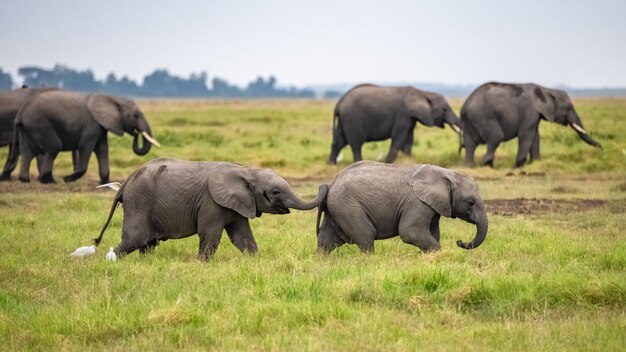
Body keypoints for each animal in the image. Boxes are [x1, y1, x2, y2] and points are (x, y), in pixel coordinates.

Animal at [1, 90, 161, 184]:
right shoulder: (91, 126)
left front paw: (104, 182)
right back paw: (48, 180)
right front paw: (68, 179)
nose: (136, 133)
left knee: (26, 152)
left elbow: (103, 149)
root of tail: (20, 113)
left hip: (27, 128)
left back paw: (25, 180)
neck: (112, 98)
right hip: (40, 124)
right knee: (53, 147)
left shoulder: (100, 126)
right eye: (135, 115)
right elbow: (86, 148)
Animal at [95, 158, 330, 260]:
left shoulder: (238, 203)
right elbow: (211, 234)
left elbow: (242, 236)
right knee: (135, 239)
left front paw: (255, 260)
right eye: (275, 192)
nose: (323, 186)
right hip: (139, 201)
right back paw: (111, 260)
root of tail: (125, 183)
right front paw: (201, 264)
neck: (247, 171)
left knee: (146, 243)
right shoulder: (211, 202)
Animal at [314, 161, 486, 254]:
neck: (445, 173)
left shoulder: (432, 206)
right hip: (349, 208)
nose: (459, 242)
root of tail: (330, 184)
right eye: (470, 202)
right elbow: (410, 232)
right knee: (366, 238)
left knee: (327, 239)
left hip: (338, 209)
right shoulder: (417, 204)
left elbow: (433, 233)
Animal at [324, 84, 460, 164]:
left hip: (344, 120)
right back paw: (358, 163)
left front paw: (408, 161)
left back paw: (331, 164)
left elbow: (409, 139)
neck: (423, 92)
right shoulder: (403, 114)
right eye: (444, 109)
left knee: (339, 141)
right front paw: (387, 163)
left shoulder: (410, 117)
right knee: (356, 144)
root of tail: (339, 103)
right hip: (352, 119)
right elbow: (399, 138)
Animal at [458, 81, 600, 168]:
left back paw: (470, 166)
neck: (546, 90)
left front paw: (535, 163)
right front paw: (518, 166)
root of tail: (464, 106)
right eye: (569, 108)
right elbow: (527, 135)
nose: (601, 148)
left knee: (470, 144)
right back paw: (488, 164)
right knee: (496, 137)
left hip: (471, 121)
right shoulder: (530, 112)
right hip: (484, 117)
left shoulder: (536, 115)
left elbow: (535, 136)